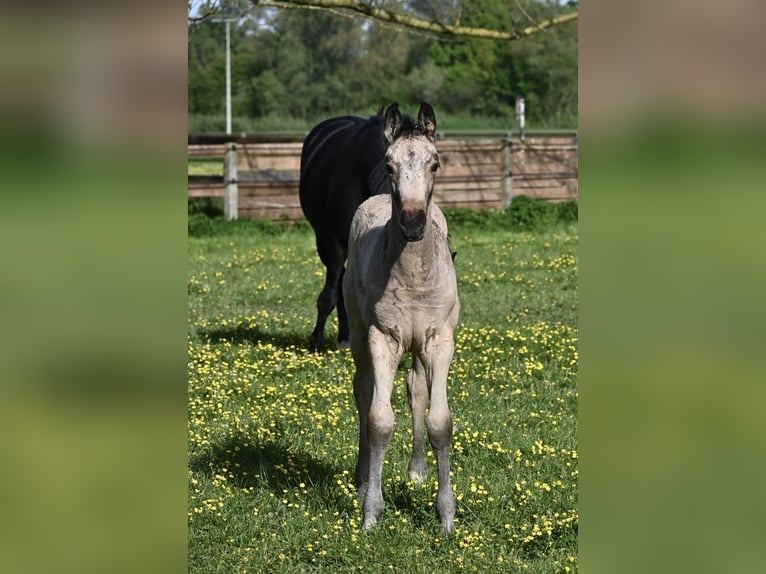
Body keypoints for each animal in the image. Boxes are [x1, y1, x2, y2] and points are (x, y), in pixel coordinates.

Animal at [344, 102, 462, 536]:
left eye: (436, 163)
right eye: (389, 164)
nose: (412, 222)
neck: (412, 274)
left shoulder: (439, 340)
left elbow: (439, 422)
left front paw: (446, 516)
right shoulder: (383, 338)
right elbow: (379, 420)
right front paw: (371, 513)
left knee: (415, 391)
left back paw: (416, 470)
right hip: (359, 333)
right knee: (363, 390)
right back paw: (364, 478)